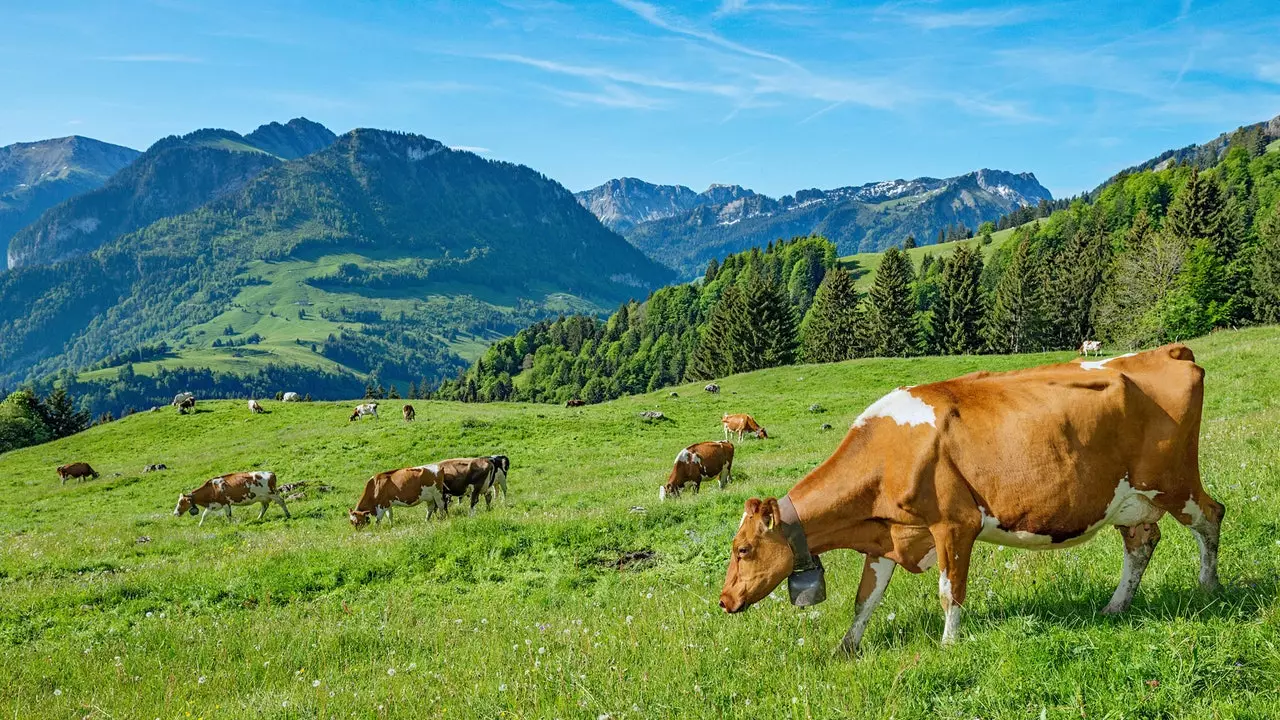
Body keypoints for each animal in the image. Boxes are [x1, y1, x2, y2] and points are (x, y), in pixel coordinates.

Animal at [721, 345, 1228, 653]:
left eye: (742, 549)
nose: (724, 601)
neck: (888, 452)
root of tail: (1165, 351)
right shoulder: (888, 538)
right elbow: (865, 600)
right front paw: (847, 647)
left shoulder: (955, 524)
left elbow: (950, 592)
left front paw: (948, 646)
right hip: (1128, 499)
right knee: (1141, 543)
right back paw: (1116, 605)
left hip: (1175, 482)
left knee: (1211, 516)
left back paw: (1208, 586)